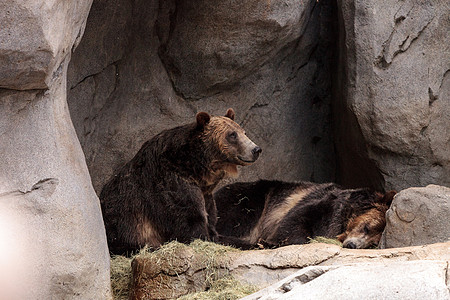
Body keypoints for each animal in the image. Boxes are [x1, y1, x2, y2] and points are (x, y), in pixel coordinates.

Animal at [98, 109, 260, 254]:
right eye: (232, 135)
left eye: (244, 132)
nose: (256, 149)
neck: (194, 168)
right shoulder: (173, 184)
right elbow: (191, 222)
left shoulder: (206, 193)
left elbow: (213, 224)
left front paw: (256, 243)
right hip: (121, 225)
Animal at [214, 180, 394, 248]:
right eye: (366, 227)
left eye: (373, 244)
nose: (352, 245)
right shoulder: (318, 205)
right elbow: (293, 223)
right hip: (248, 200)